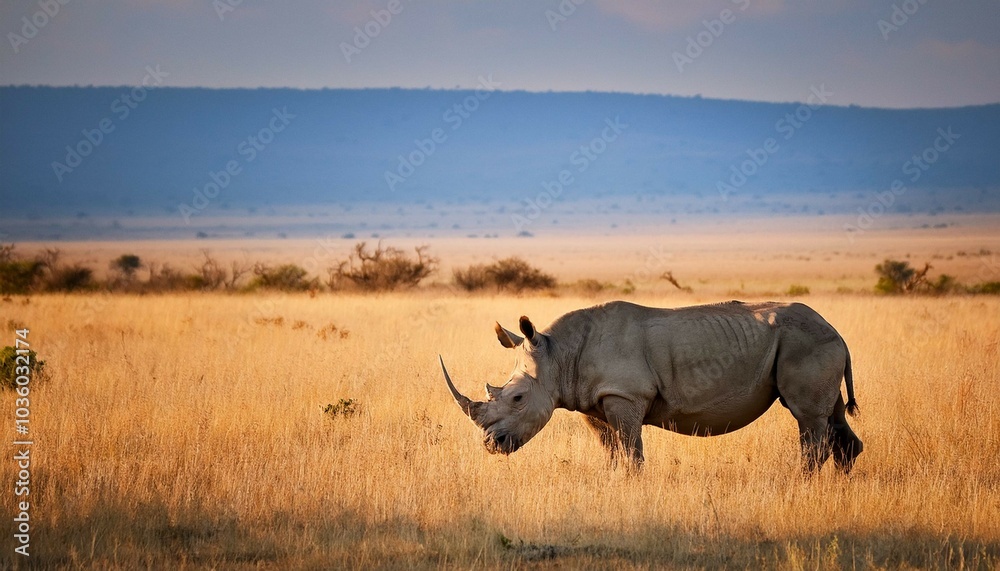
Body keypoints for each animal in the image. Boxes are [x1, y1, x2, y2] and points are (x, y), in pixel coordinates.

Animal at [441, 300, 862, 473]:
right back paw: (838, 486)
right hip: (816, 343)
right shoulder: (594, 398)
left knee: (807, 418)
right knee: (831, 415)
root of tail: (837, 331)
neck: (559, 355)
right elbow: (610, 448)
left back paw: (801, 482)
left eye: (517, 398)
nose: (490, 445)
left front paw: (631, 483)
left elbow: (631, 450)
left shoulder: (625, 394)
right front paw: (612, 480)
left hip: (807, 342)